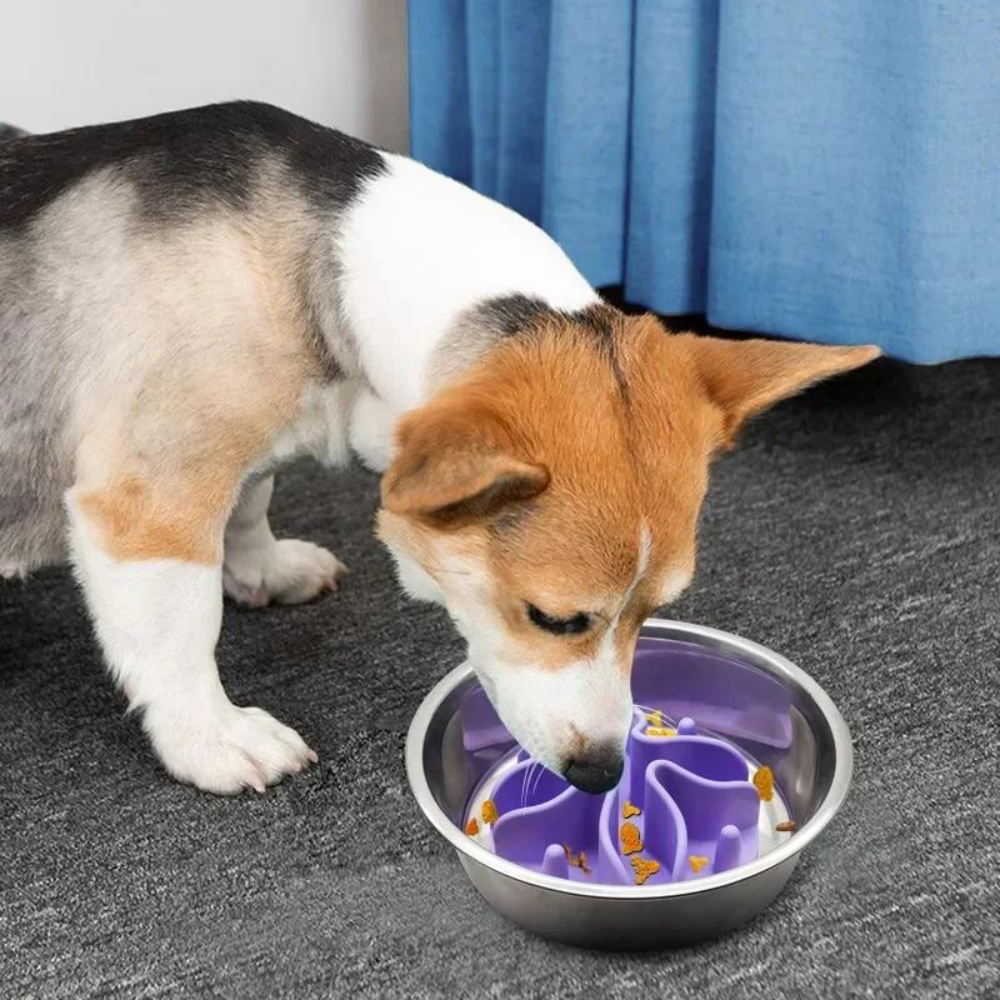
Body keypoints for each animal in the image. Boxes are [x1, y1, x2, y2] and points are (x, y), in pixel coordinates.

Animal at [0, 103, 876, 796]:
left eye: (654, 614)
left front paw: (262, 569)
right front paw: (211, 737)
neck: (340, 262)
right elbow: (180, 633)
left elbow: (252, 499)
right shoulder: (150, 502)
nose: (601, 774)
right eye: (554, 619)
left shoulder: (247, 443)